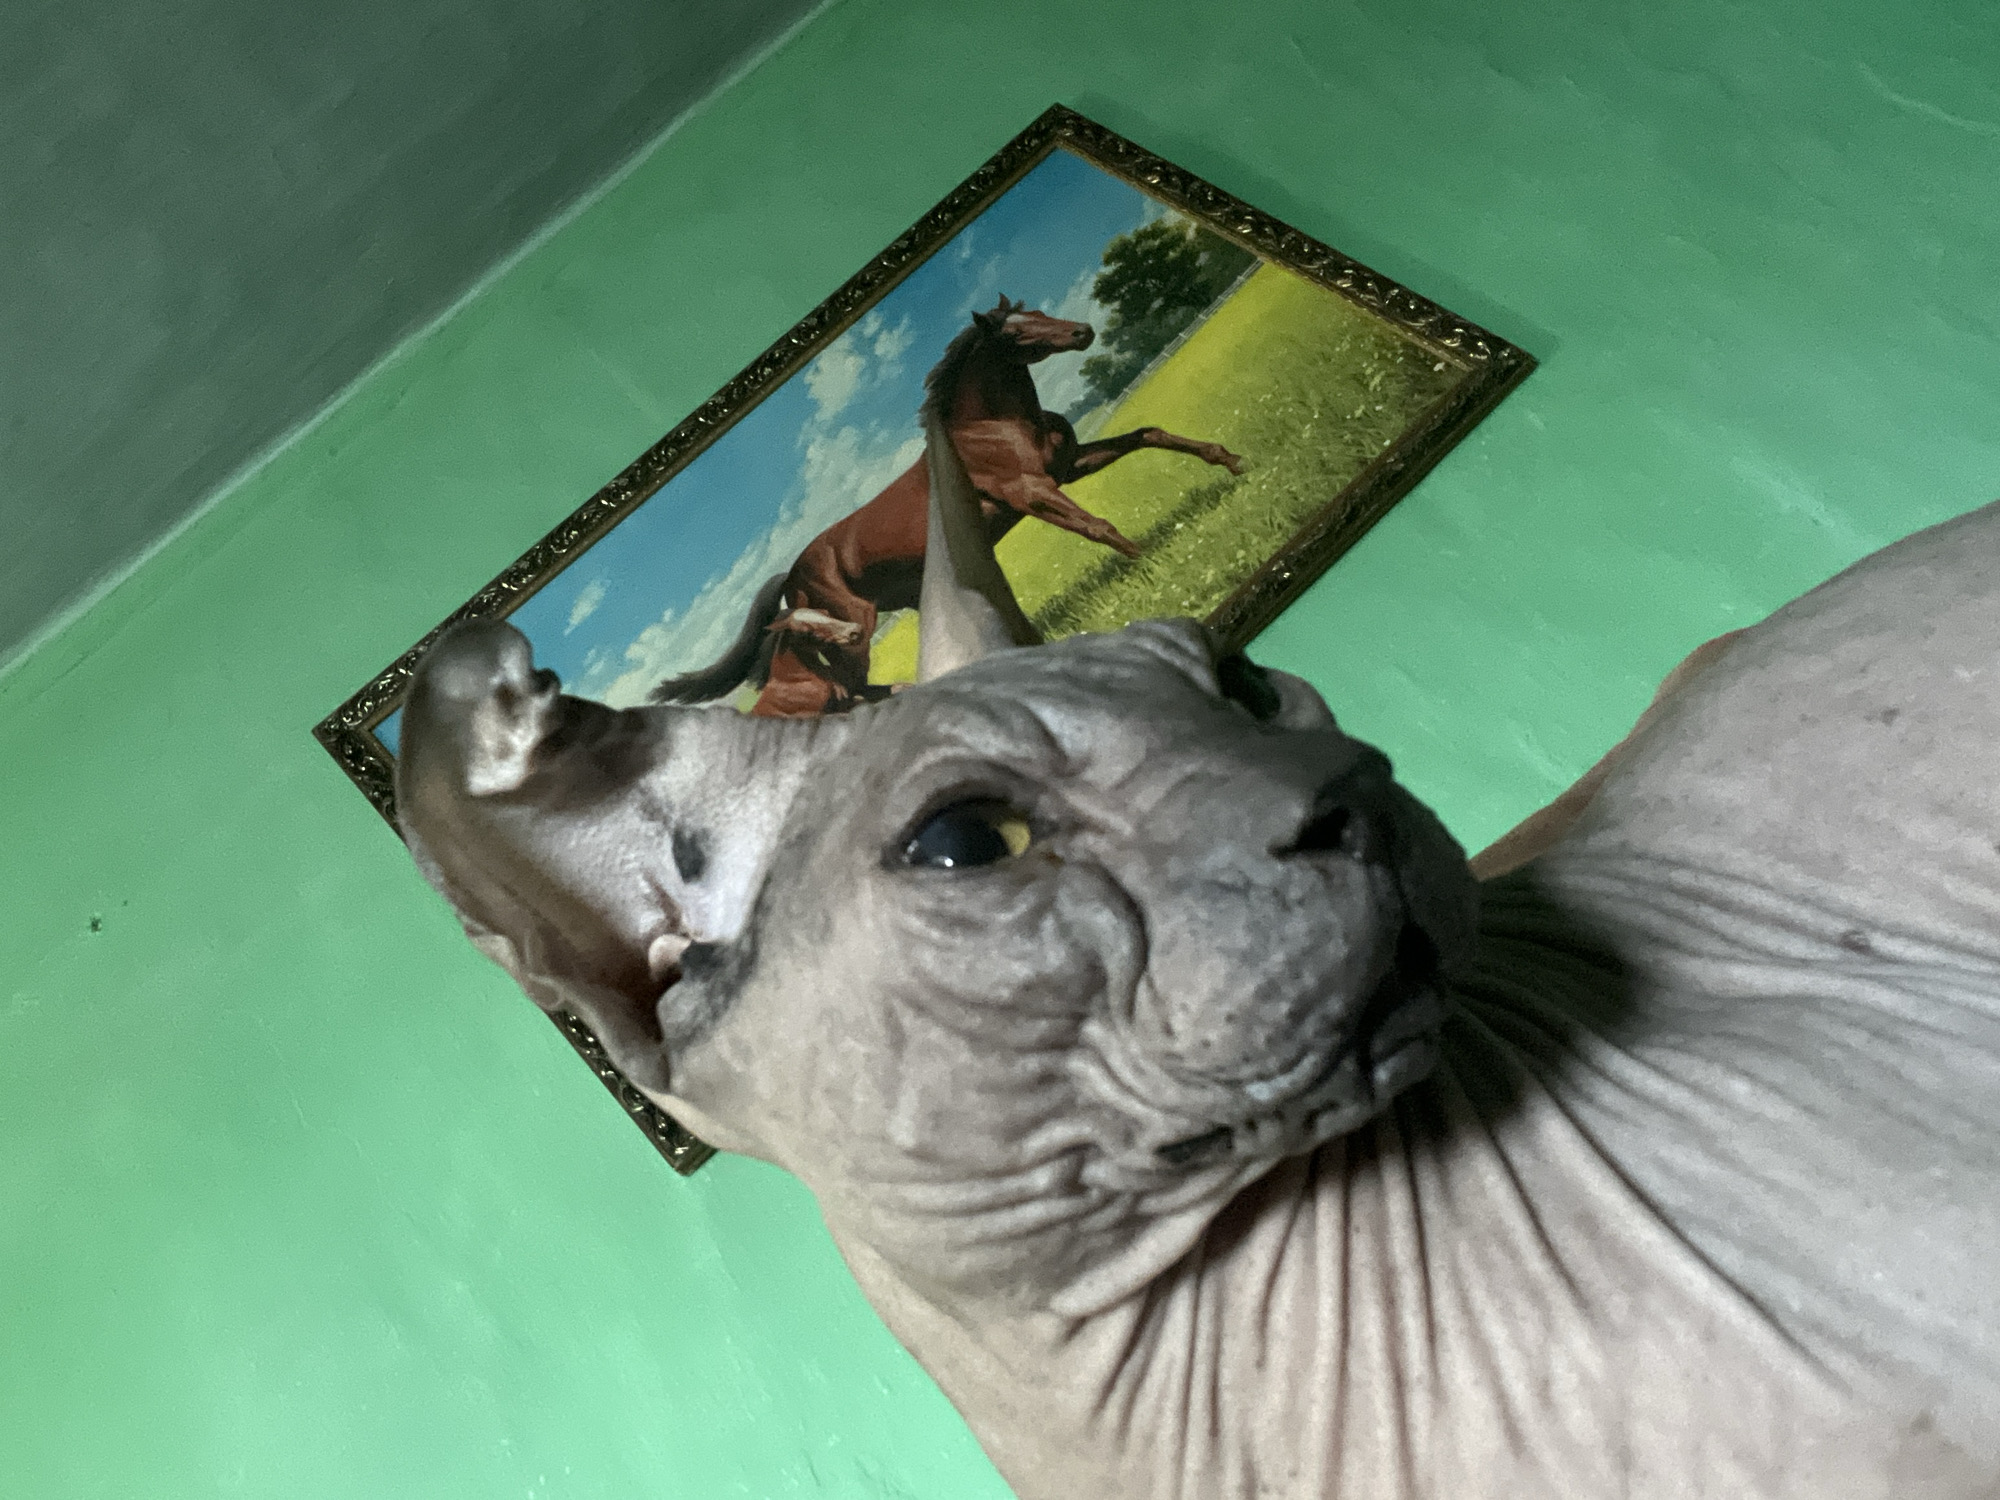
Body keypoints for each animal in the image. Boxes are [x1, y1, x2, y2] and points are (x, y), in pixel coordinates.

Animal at [651, 296, 1246, 718]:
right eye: (1014, 331)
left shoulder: (1069, 466)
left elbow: (1149, 435)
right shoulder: (1031, 491)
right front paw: (1152, 564)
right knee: (848, 683)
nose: (1082, 332)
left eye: (1037, 312)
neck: (990, 428)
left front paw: (1232, 462)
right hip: (855, 623)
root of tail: (791, 574)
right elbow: (1095, 525)